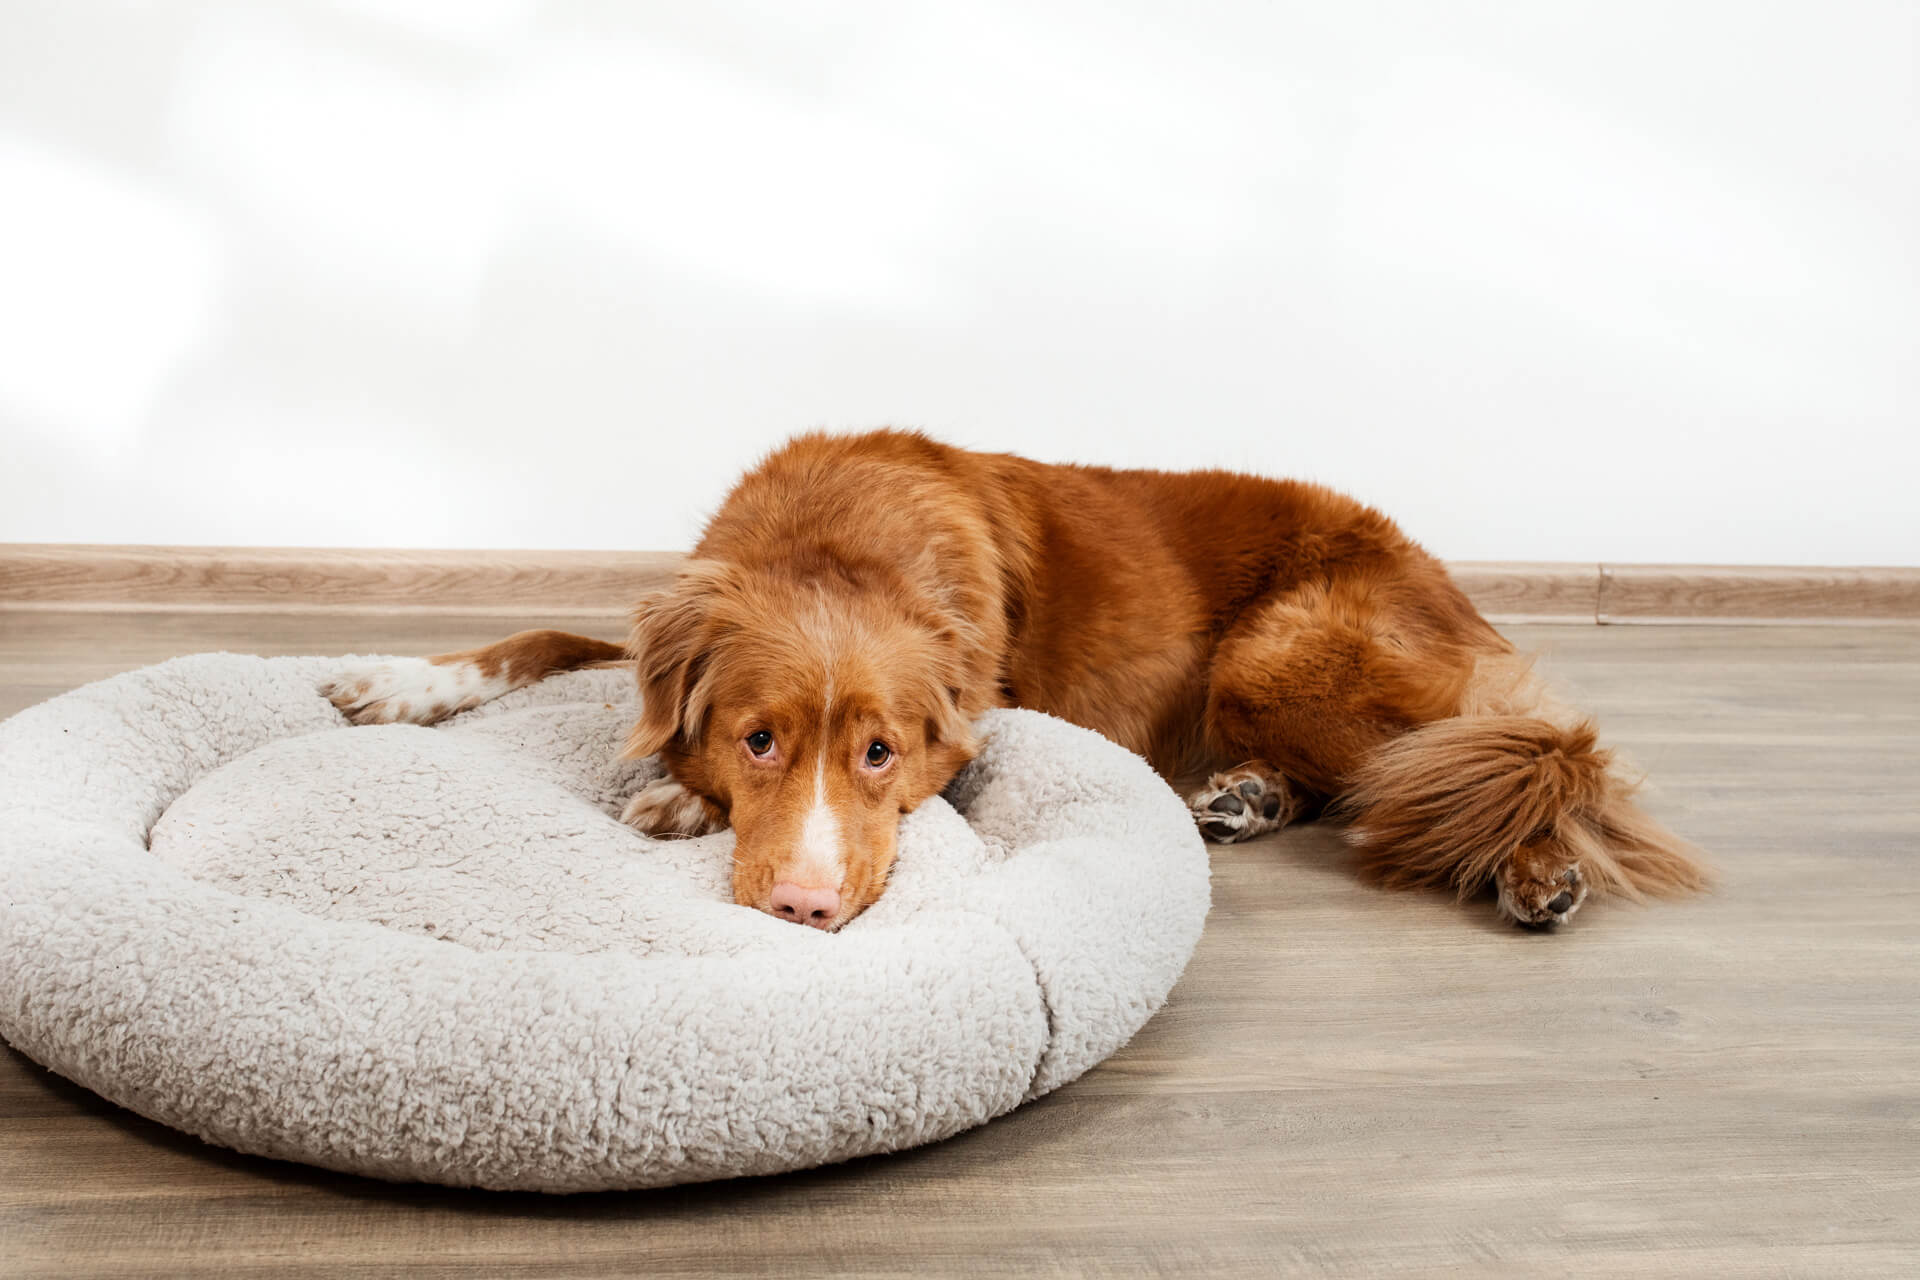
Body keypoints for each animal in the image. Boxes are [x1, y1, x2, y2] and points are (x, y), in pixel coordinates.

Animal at [318, 429, 1712, 932]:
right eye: (759, 737)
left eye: (882, 752)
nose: (809, 904)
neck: (839, 533)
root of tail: (1452, 587)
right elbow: (548, 635)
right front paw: (398, 680)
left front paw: (670, 798)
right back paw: (1247, 798)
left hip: (1280, 654)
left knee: (1525, 761)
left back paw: (1538, 868)